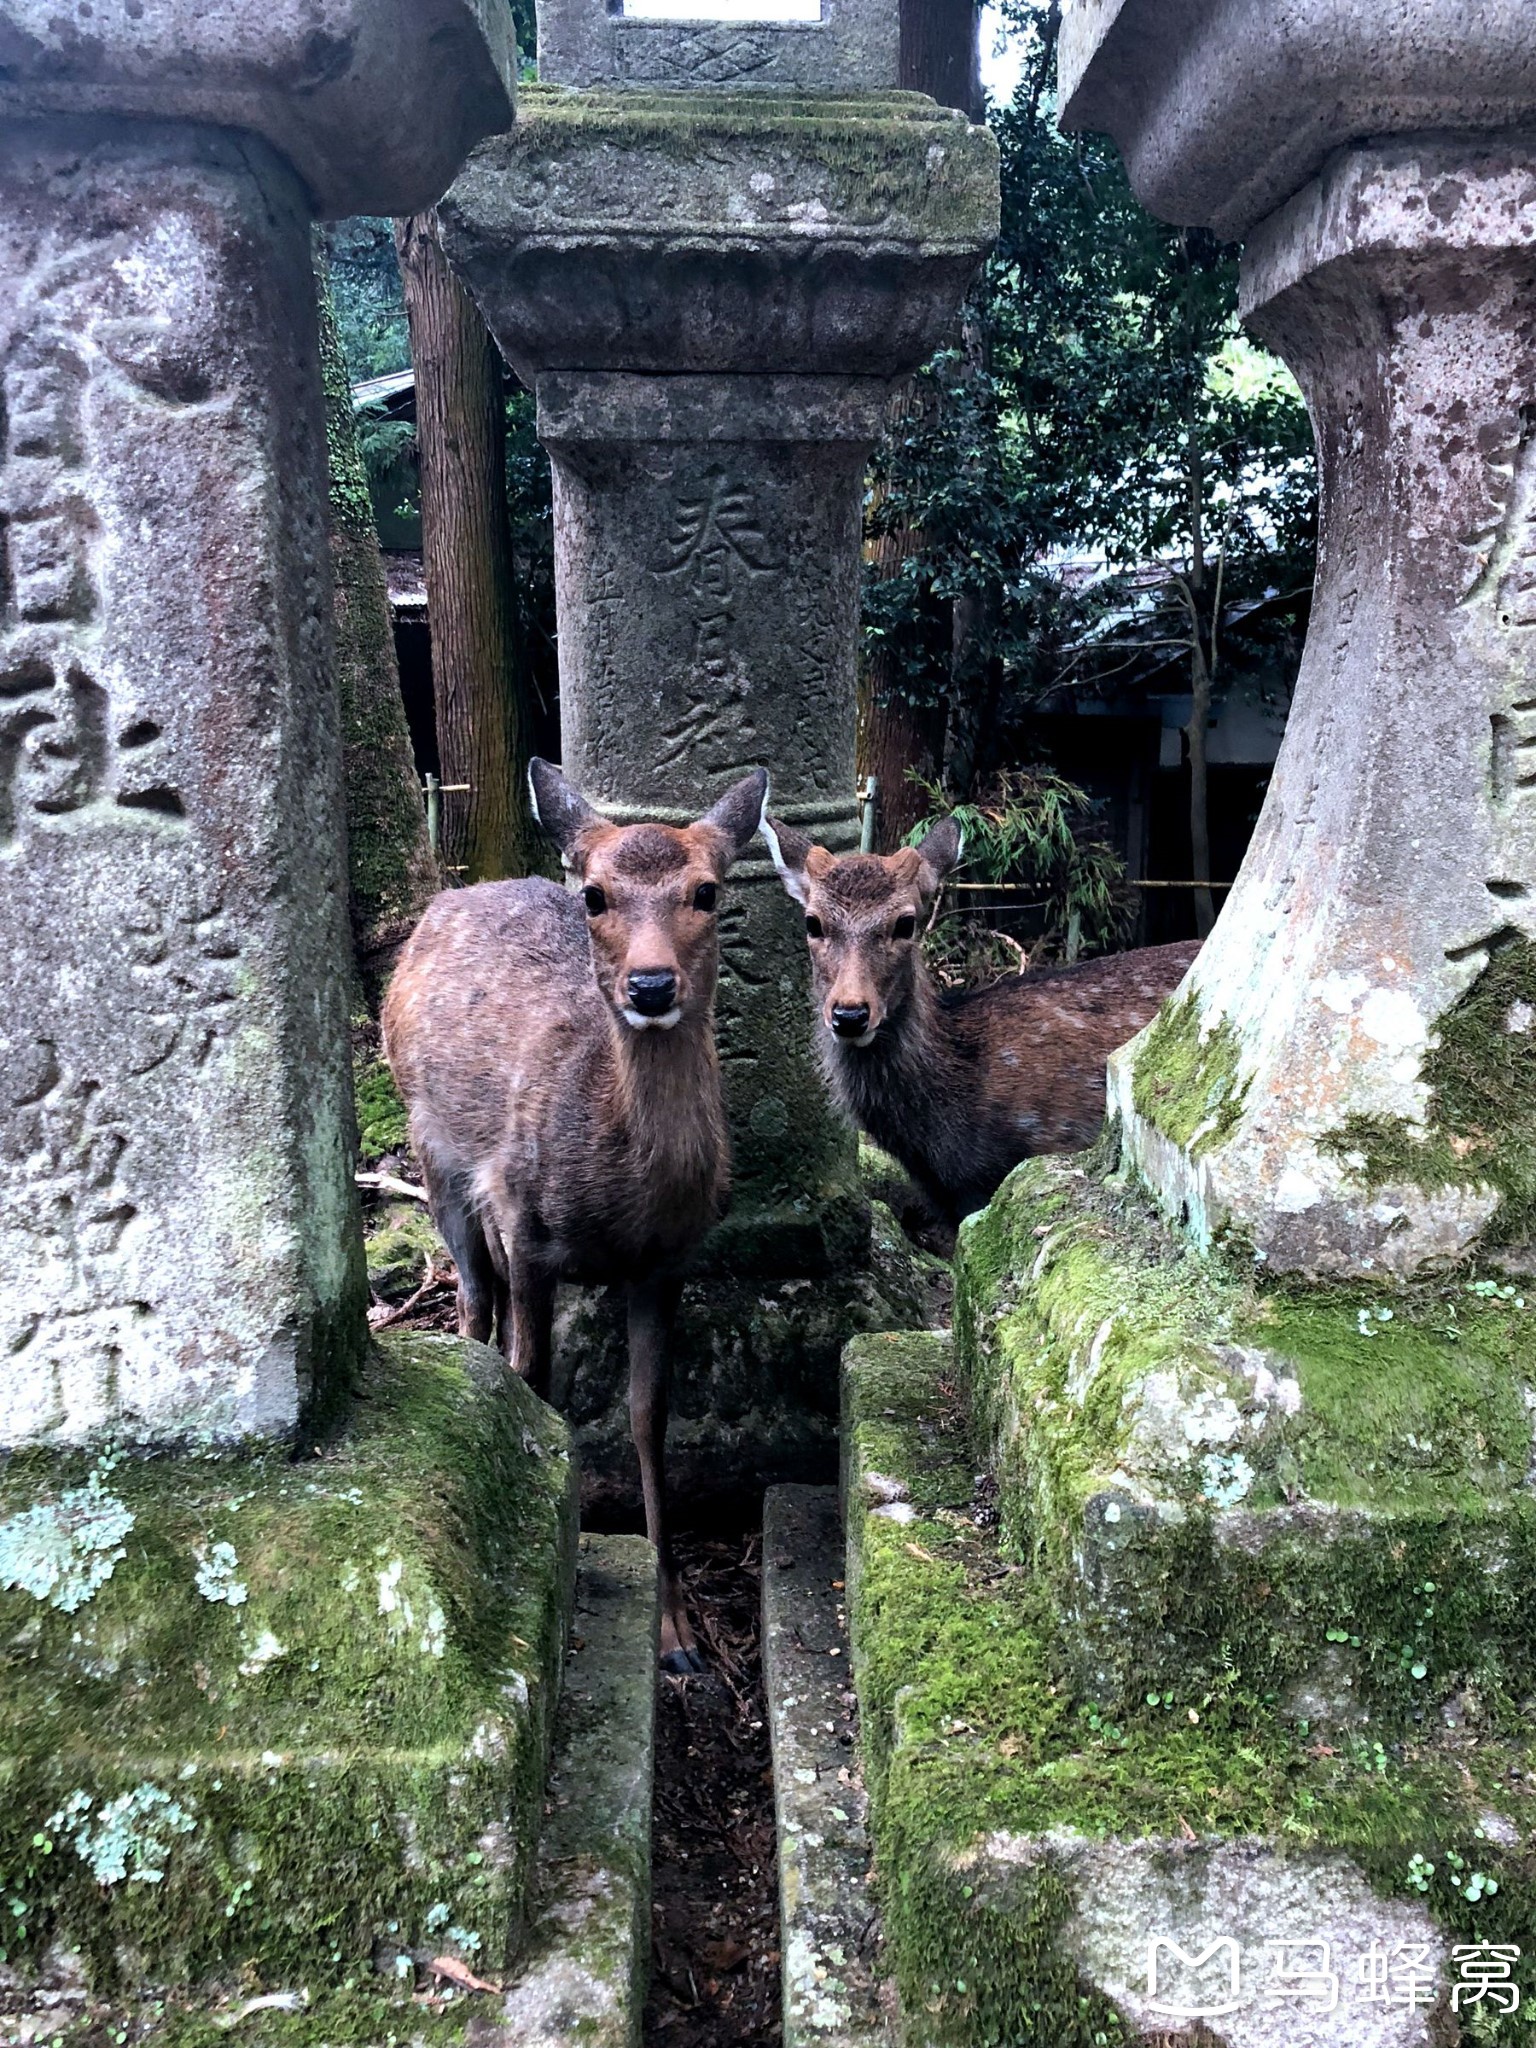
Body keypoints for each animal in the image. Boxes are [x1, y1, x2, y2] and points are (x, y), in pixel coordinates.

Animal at [385, 761, 770, 1671]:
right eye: (594, 895)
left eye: (706, 890)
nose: (651, 985)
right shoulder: (528, 1228)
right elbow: (535, 1381)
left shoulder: (665, 1263)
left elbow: (647, 1415)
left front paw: (677, 1632)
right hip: (435, 1151)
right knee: (473, 1300)